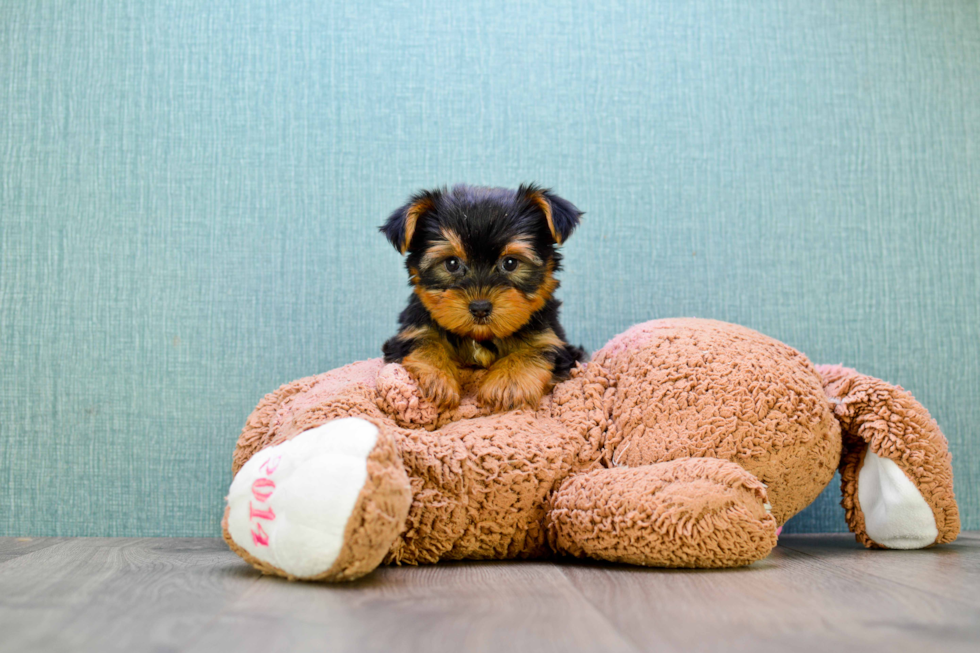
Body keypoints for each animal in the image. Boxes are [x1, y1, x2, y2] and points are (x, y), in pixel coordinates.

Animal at [380, 182, 580, 408]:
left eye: (510, 263)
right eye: (452, 263)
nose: (480, 308)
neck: (480, 337)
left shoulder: (553, 340)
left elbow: (540, 349)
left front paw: (507, 383)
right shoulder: (410, 332)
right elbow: (424, 343)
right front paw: (438, 379)